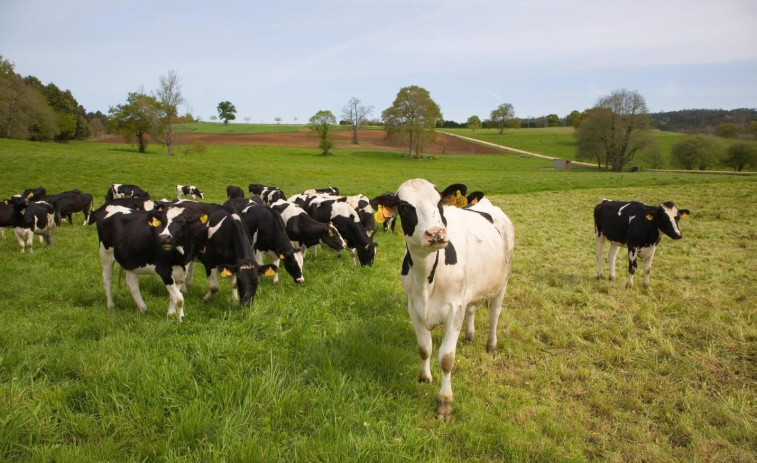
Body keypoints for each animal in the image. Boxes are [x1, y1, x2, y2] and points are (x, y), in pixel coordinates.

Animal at [372, 180, 512, 420]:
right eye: (405, 207)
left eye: (439, 203)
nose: (436, 233)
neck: (426, 278)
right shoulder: (414, 307)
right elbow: (424, 348)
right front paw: (424, 378)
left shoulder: (454, 310)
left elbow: (446, 358)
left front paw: (444, 403)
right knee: (472, 309)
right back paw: (469, 337)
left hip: (501, 283)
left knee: (494, 314)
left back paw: (491, 346)